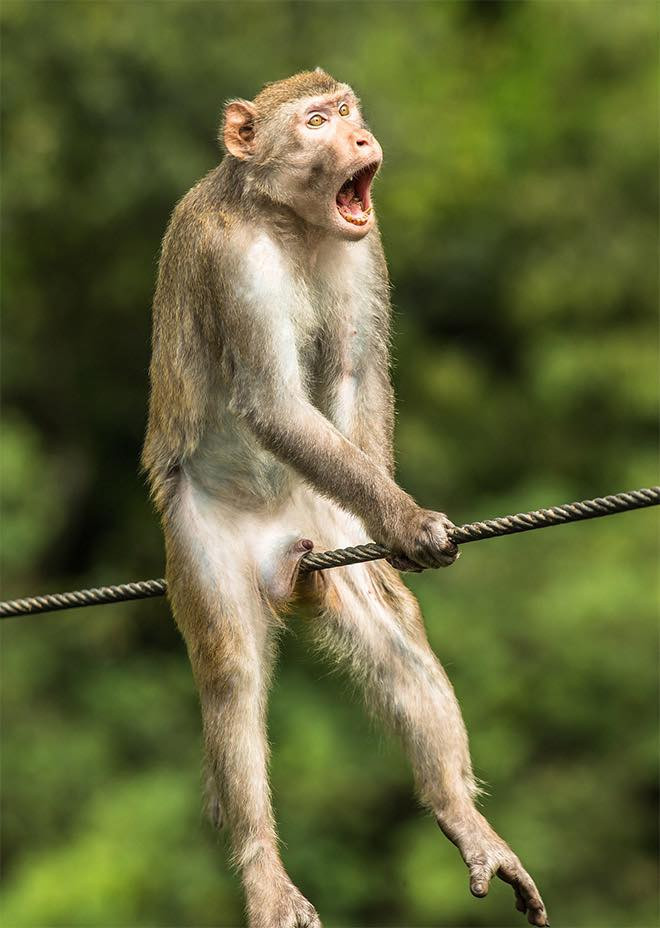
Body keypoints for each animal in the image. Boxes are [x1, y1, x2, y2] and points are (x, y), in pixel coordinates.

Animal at [142, 69, 549, 928]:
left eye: (348, 111)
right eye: (316, 121)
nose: (360, 138)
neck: (288, 221)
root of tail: (284, 558)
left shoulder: (366, 247)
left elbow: (358, 375)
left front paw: (392, 525)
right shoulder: (232, 260)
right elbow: (273, 404)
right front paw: (404, 517)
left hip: (319, 521)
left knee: (392, 636)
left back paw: (463, 819)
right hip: (201, 541)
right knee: (231, 675)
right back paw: (265, 875)